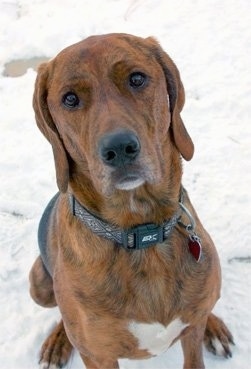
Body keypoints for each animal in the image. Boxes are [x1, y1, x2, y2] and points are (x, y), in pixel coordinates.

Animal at [28, 33, 233, 366]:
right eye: (70, 99)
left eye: (137, 79)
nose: (120, 148)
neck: (140, 231)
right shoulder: (98, 357)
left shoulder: (191, 334)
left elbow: (195, 336)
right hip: (38, 284)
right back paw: (58, 340)